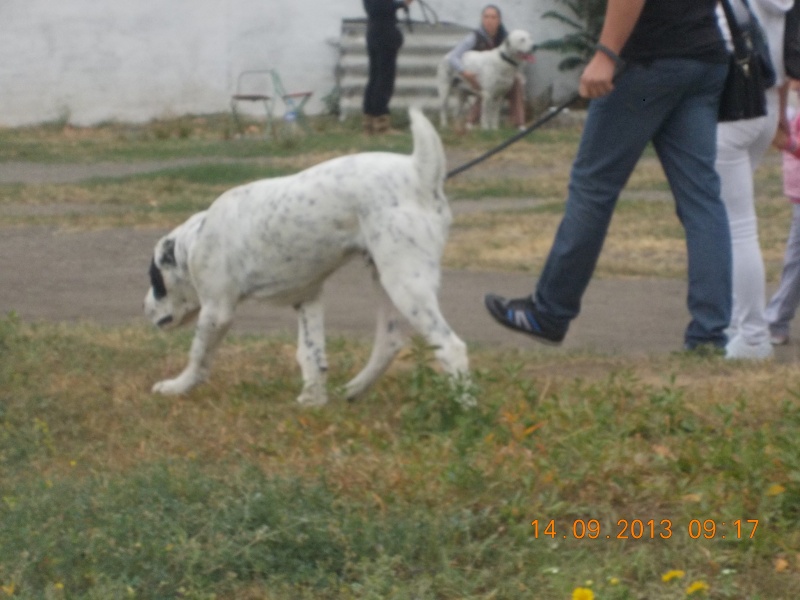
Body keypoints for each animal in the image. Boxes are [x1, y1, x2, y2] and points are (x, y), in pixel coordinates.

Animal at [144, 108, 471, 406]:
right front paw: (313, 400)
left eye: (155, 280)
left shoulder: (217, 311)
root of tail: (419, 174)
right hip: (385, 278)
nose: (144, 308)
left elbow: (198, 356)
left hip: (404, 283)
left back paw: (464, 408)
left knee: (450, 346)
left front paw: (177, 386)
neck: (195, 239)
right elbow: (311, 354)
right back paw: (352, 390)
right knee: (389, 342)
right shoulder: (308, 299)